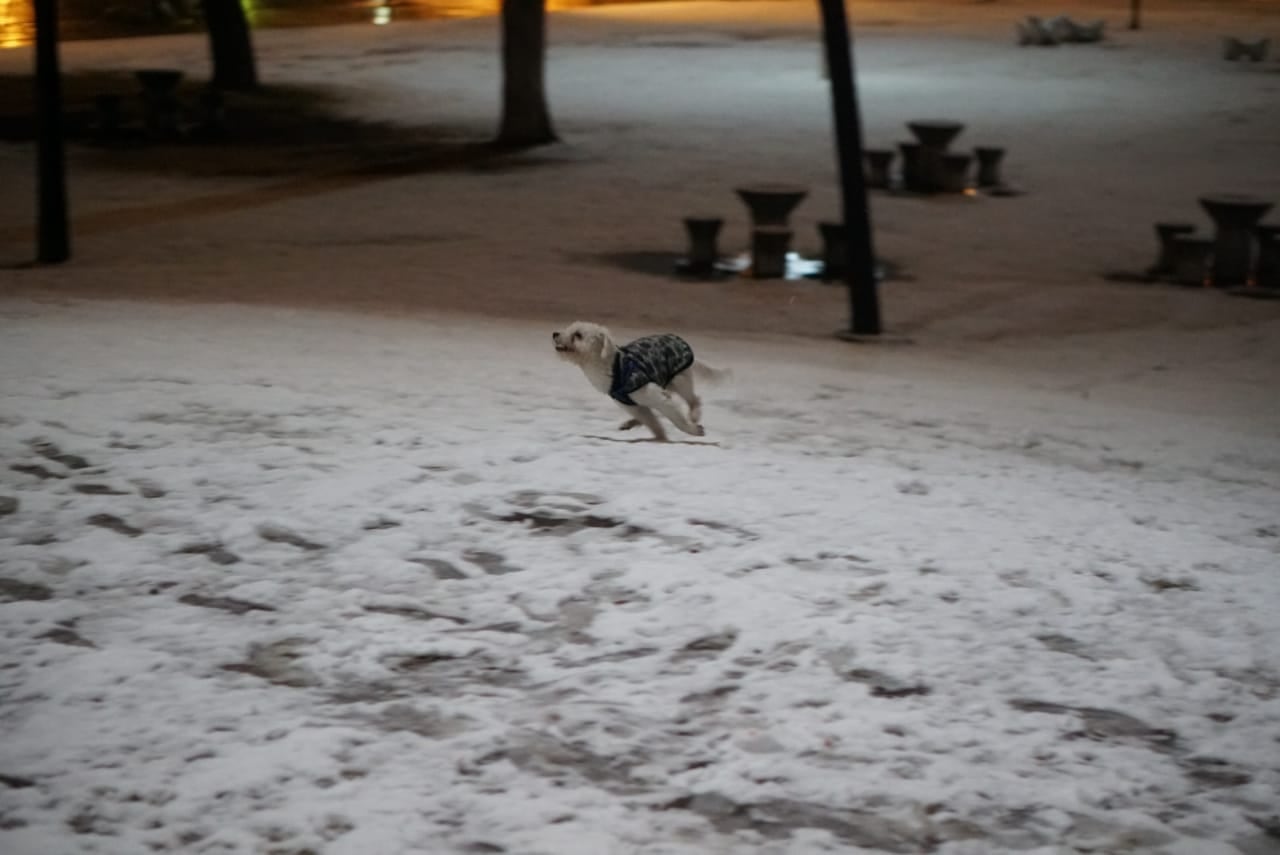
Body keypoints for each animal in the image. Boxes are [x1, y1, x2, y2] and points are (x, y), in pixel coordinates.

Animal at [552, 319, 727, 440]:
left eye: (578, 335)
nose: (555, 334)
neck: (612, 367)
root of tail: (678, 339)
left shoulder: (656, 397)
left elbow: (676, 419)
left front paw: (693, 430)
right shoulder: (632, 405)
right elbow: (652, 422)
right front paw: (660, 438)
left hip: (679, 379)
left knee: (694, 399)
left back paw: (694, 415)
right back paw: (631, 423)